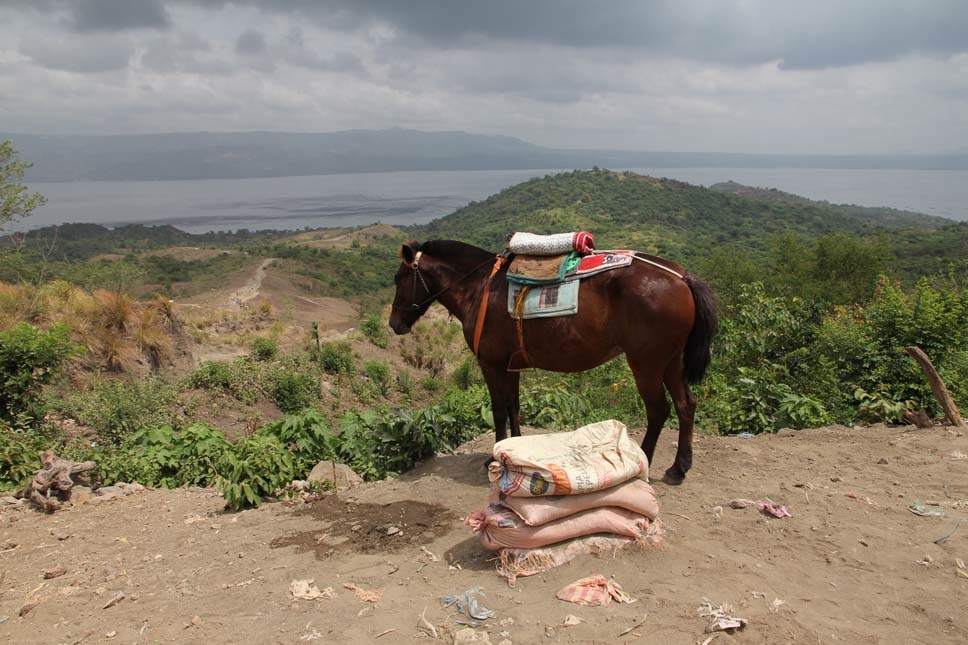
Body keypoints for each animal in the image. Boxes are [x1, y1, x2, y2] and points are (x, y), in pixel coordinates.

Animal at [390, 240, 716, 484]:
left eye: (398, 279)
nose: (395, 324)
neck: (479, 288)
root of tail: (681, 275)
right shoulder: (510, 365)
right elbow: (513, 406)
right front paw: (514, 450)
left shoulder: (491, 364)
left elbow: (498, 411)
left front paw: (494, 457)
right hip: (671, 361)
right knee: (686, 405)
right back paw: (678, 468)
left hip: (646, 364)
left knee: (658, 410)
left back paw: (646, 459)